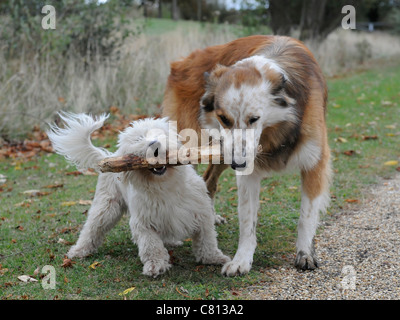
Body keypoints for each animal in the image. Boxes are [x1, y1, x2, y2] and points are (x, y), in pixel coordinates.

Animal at [47, 114, 230, 276]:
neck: (165, 185)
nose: (154, 144)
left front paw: (214, 258)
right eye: (138, 139)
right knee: (92, 229)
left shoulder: (201, 213)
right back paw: (79, 250)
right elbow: (152, 246)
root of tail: (109, 155)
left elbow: (207, 240)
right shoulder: (143, 223)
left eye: (160, 134)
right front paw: (155, 265)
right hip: (106, 207)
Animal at [160, 34, 332, 276]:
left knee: (208, 181)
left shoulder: (314, 162)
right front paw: (241, 259)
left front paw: (305, 253)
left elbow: (306, 216)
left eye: (254, 118)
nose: (238, 164)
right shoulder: (246, 172)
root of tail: (182, 61)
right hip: (199, 148)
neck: (275, 131)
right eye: (224, 118)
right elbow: (247, 221)